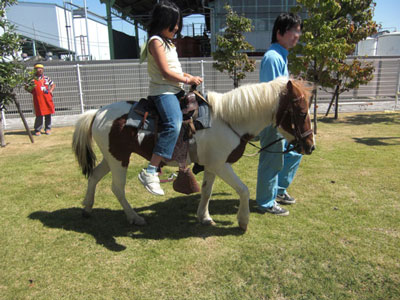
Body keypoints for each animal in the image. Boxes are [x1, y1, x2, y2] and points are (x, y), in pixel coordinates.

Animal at [72, 76, 316, 231]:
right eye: (301, 112)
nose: (310, 146)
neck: (227, 119)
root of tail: (98, 112)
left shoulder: (211, 165)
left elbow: (207, 191)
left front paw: (204, 217)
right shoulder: (221, 164)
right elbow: (244, 190)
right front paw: (243, 221)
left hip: (111, 157)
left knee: (94, 176)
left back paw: (87, 208)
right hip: (119, 159)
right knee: (117, 188)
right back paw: (134, 217)